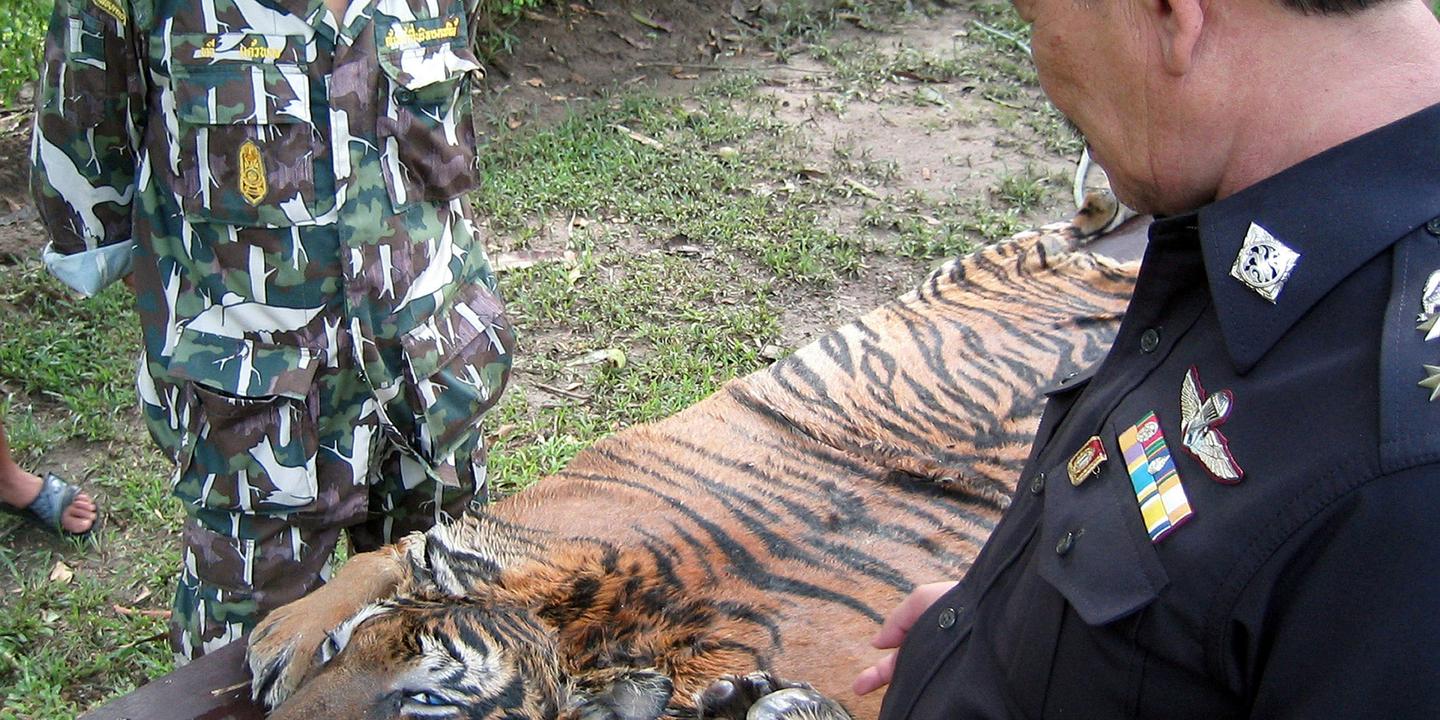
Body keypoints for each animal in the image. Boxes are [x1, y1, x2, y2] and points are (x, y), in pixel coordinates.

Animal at [244, 220, 1141, 720]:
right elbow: (385, 555)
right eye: (345, 655)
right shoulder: (517, 530)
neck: (578, 626)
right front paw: (279, 638)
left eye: (423, 701)